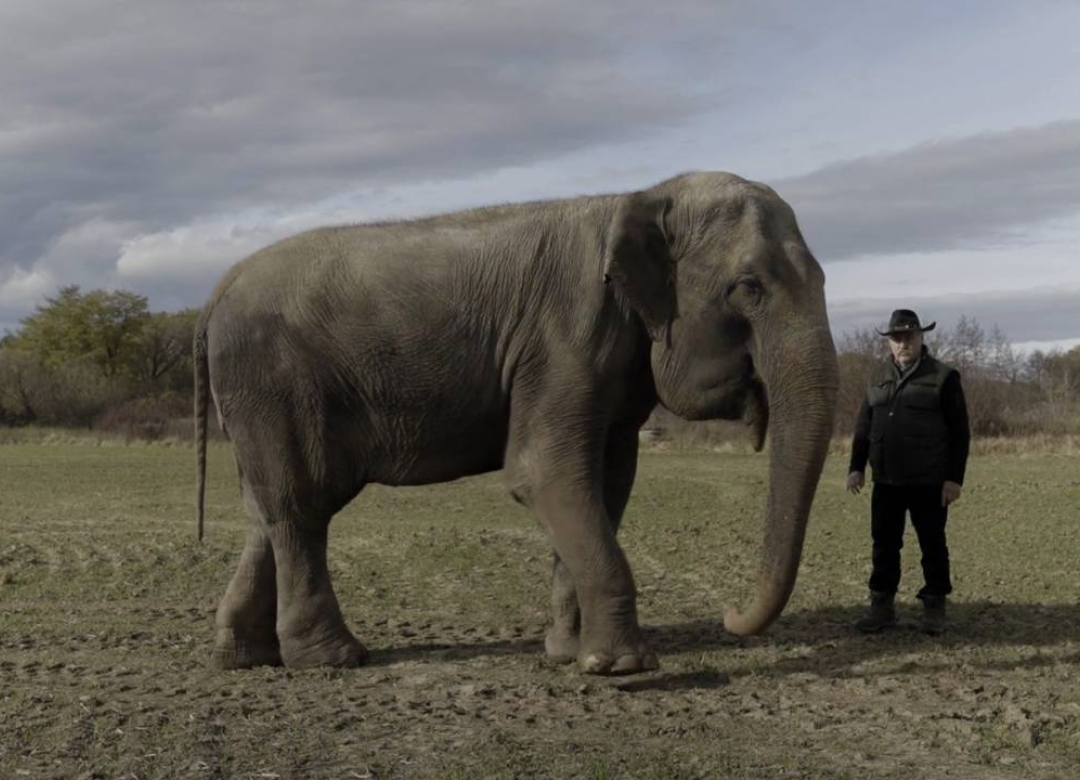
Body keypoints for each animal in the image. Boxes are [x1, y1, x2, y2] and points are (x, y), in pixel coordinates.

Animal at [194, 171, 839, 675]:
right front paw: (622, 667)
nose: (730, 616)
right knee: (301, 505)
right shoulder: (563, 339)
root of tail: (214, 294)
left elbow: (606, 482)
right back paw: (334, 659)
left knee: (264, 509)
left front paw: (570, 654)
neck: (641, 197)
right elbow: (544, 473)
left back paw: (244, 657)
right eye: (749, 288)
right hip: (275, 386)